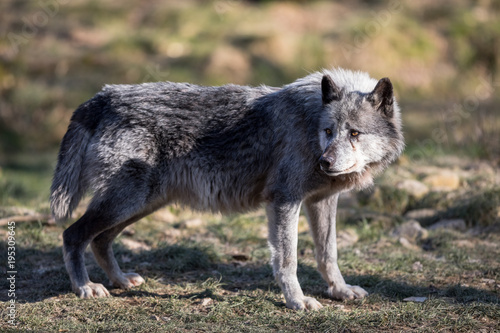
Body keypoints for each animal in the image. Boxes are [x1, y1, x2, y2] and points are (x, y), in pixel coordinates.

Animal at [49, 67, 402, 308]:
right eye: (328, 131)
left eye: (354, 133)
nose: (324, 163)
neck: (310, 123)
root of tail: (103, 97)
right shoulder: (284, 201)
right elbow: (287, 261)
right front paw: (297, 302)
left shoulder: (322, 202)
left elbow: (328, 254)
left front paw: (340, 291)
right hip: (127, 202)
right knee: (72, 234)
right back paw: (85, 287)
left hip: (141, 204)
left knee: (100, 240)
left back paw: (121, 281)